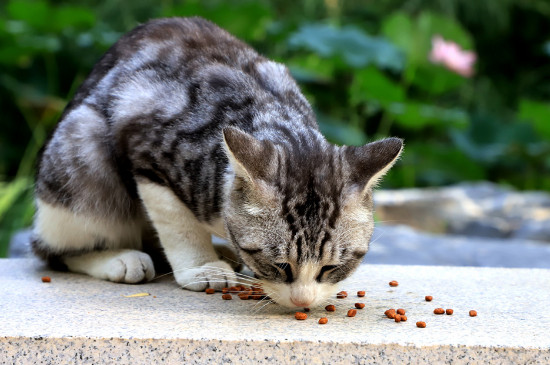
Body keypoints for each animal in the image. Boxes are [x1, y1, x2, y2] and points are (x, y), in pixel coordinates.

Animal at [33, 16, 406, 308]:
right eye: (279, 265)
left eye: (330, 268)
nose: (302, 301)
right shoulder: (147, 152)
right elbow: (179, 225)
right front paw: (202, 267)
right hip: (81, 148)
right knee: (52, 250)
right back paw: (119, 258)